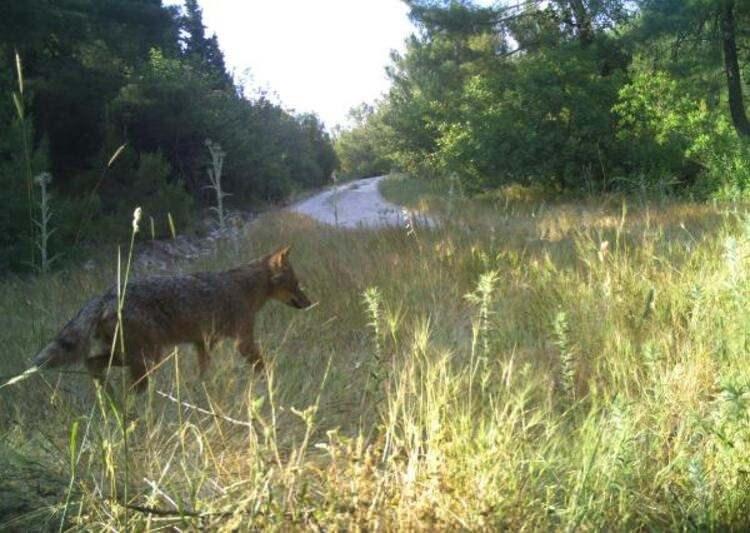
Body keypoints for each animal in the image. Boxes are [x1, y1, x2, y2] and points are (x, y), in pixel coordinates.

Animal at [32, 245, 312, 390]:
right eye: (297, 284)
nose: (309, 304)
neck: (246, 287)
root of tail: (106, 294)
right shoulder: (243, 342)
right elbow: (263, 367)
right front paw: (272, 382)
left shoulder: (204, 344)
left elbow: (203, 372)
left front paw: (201, 391)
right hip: (148, 357)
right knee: (115, 378)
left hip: (135, 356)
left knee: (91, 363)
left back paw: (108, 396)